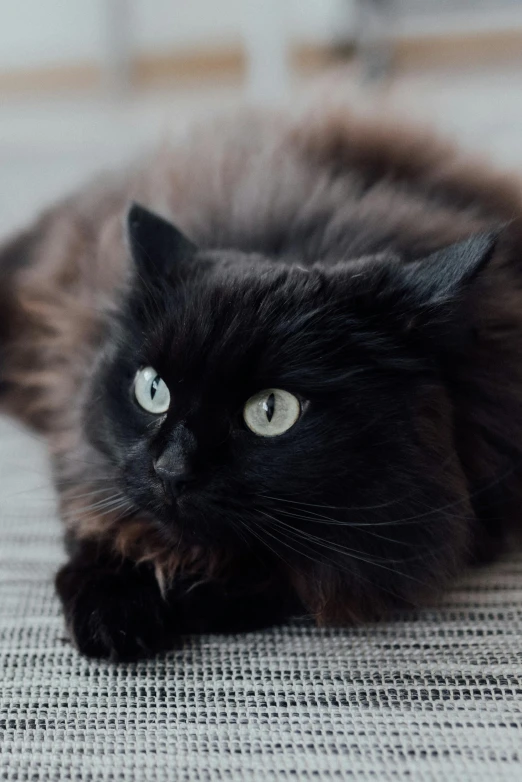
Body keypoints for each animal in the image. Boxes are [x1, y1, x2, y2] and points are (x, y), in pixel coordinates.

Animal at [1, 108, 520, 660]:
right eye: (153, 390)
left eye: (271, 411)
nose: (171, 471)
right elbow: (100, 521)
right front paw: (112, 612)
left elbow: (293, 579)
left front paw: (187, 595)